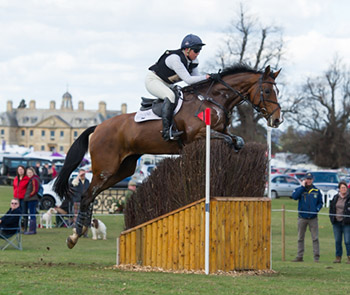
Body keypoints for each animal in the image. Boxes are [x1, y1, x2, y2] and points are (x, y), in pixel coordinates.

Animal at [52, 63, 282, 249]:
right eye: (267, 90)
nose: (277, 120)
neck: (214, 99)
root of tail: (98, 127)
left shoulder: (221, 132)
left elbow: (237, 141)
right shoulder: (198, 135)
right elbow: (227, 140)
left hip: (122, 170)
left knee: (92, 195)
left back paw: (79, 232)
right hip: (106, 168)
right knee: (86, 195)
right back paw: (75, 235)